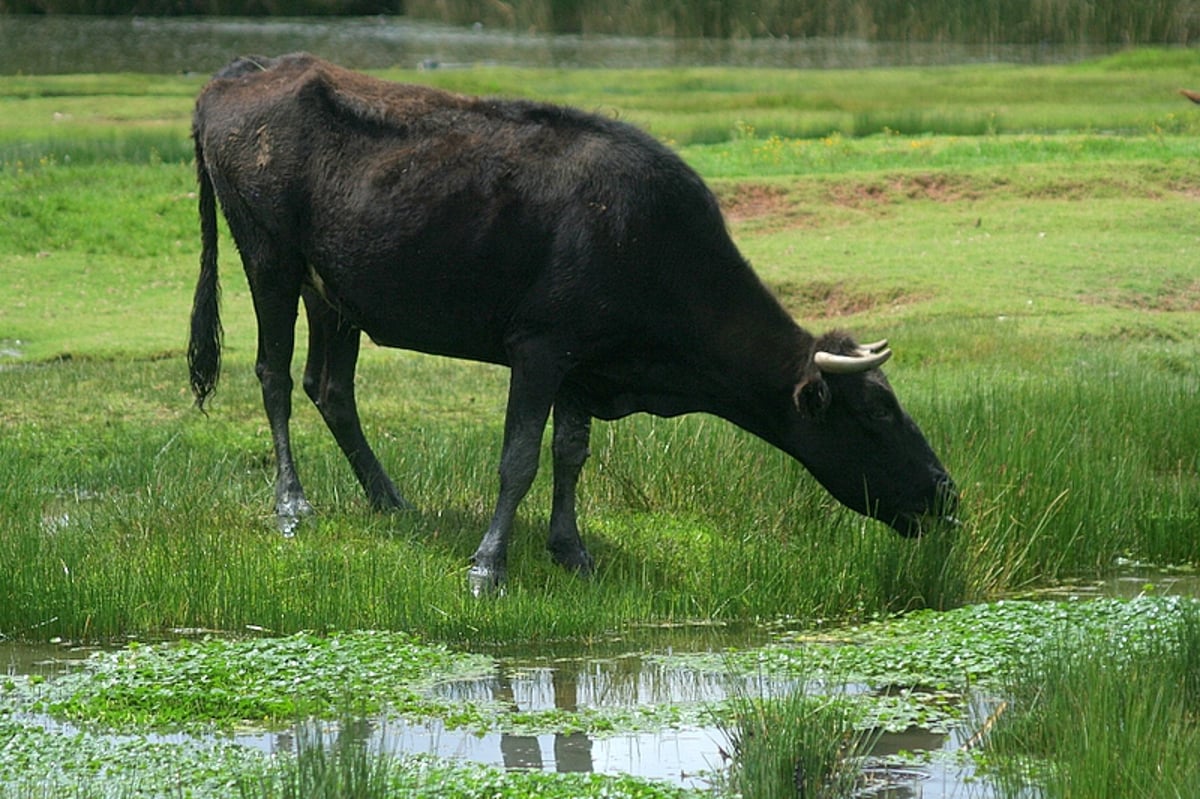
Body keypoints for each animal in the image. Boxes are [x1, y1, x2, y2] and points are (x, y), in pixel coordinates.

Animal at [187, 52, 955, 590]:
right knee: (274, 375)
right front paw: (489, 567)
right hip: (268, 255)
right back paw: (293, 506)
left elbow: (571, 455)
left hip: (334, 290)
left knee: (331, 386)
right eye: (878, 413)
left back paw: (389, 499)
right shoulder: (541, 346)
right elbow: (520, 458)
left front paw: (572, 551)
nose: (946, 493)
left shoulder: (585, 363)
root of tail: (244, 74)